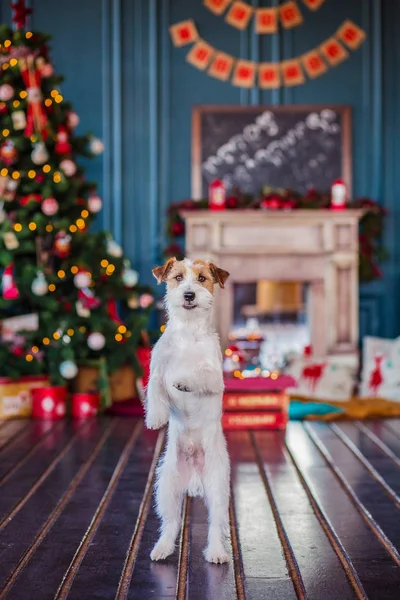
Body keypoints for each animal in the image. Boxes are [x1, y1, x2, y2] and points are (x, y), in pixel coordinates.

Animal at [145, 256, 230, 564]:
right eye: (178, 278)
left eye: (203, 278)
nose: (190, 295)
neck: (188, 332)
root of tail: (194, 477)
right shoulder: (157, 368)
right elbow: (155, 391)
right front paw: (156, 417)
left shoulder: (215, 378)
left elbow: (198, 375)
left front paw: (184, 380)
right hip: (167, 487)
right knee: (171, 522)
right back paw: (162, 548)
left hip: (218, 489)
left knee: (216, 524)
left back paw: (216, 552)